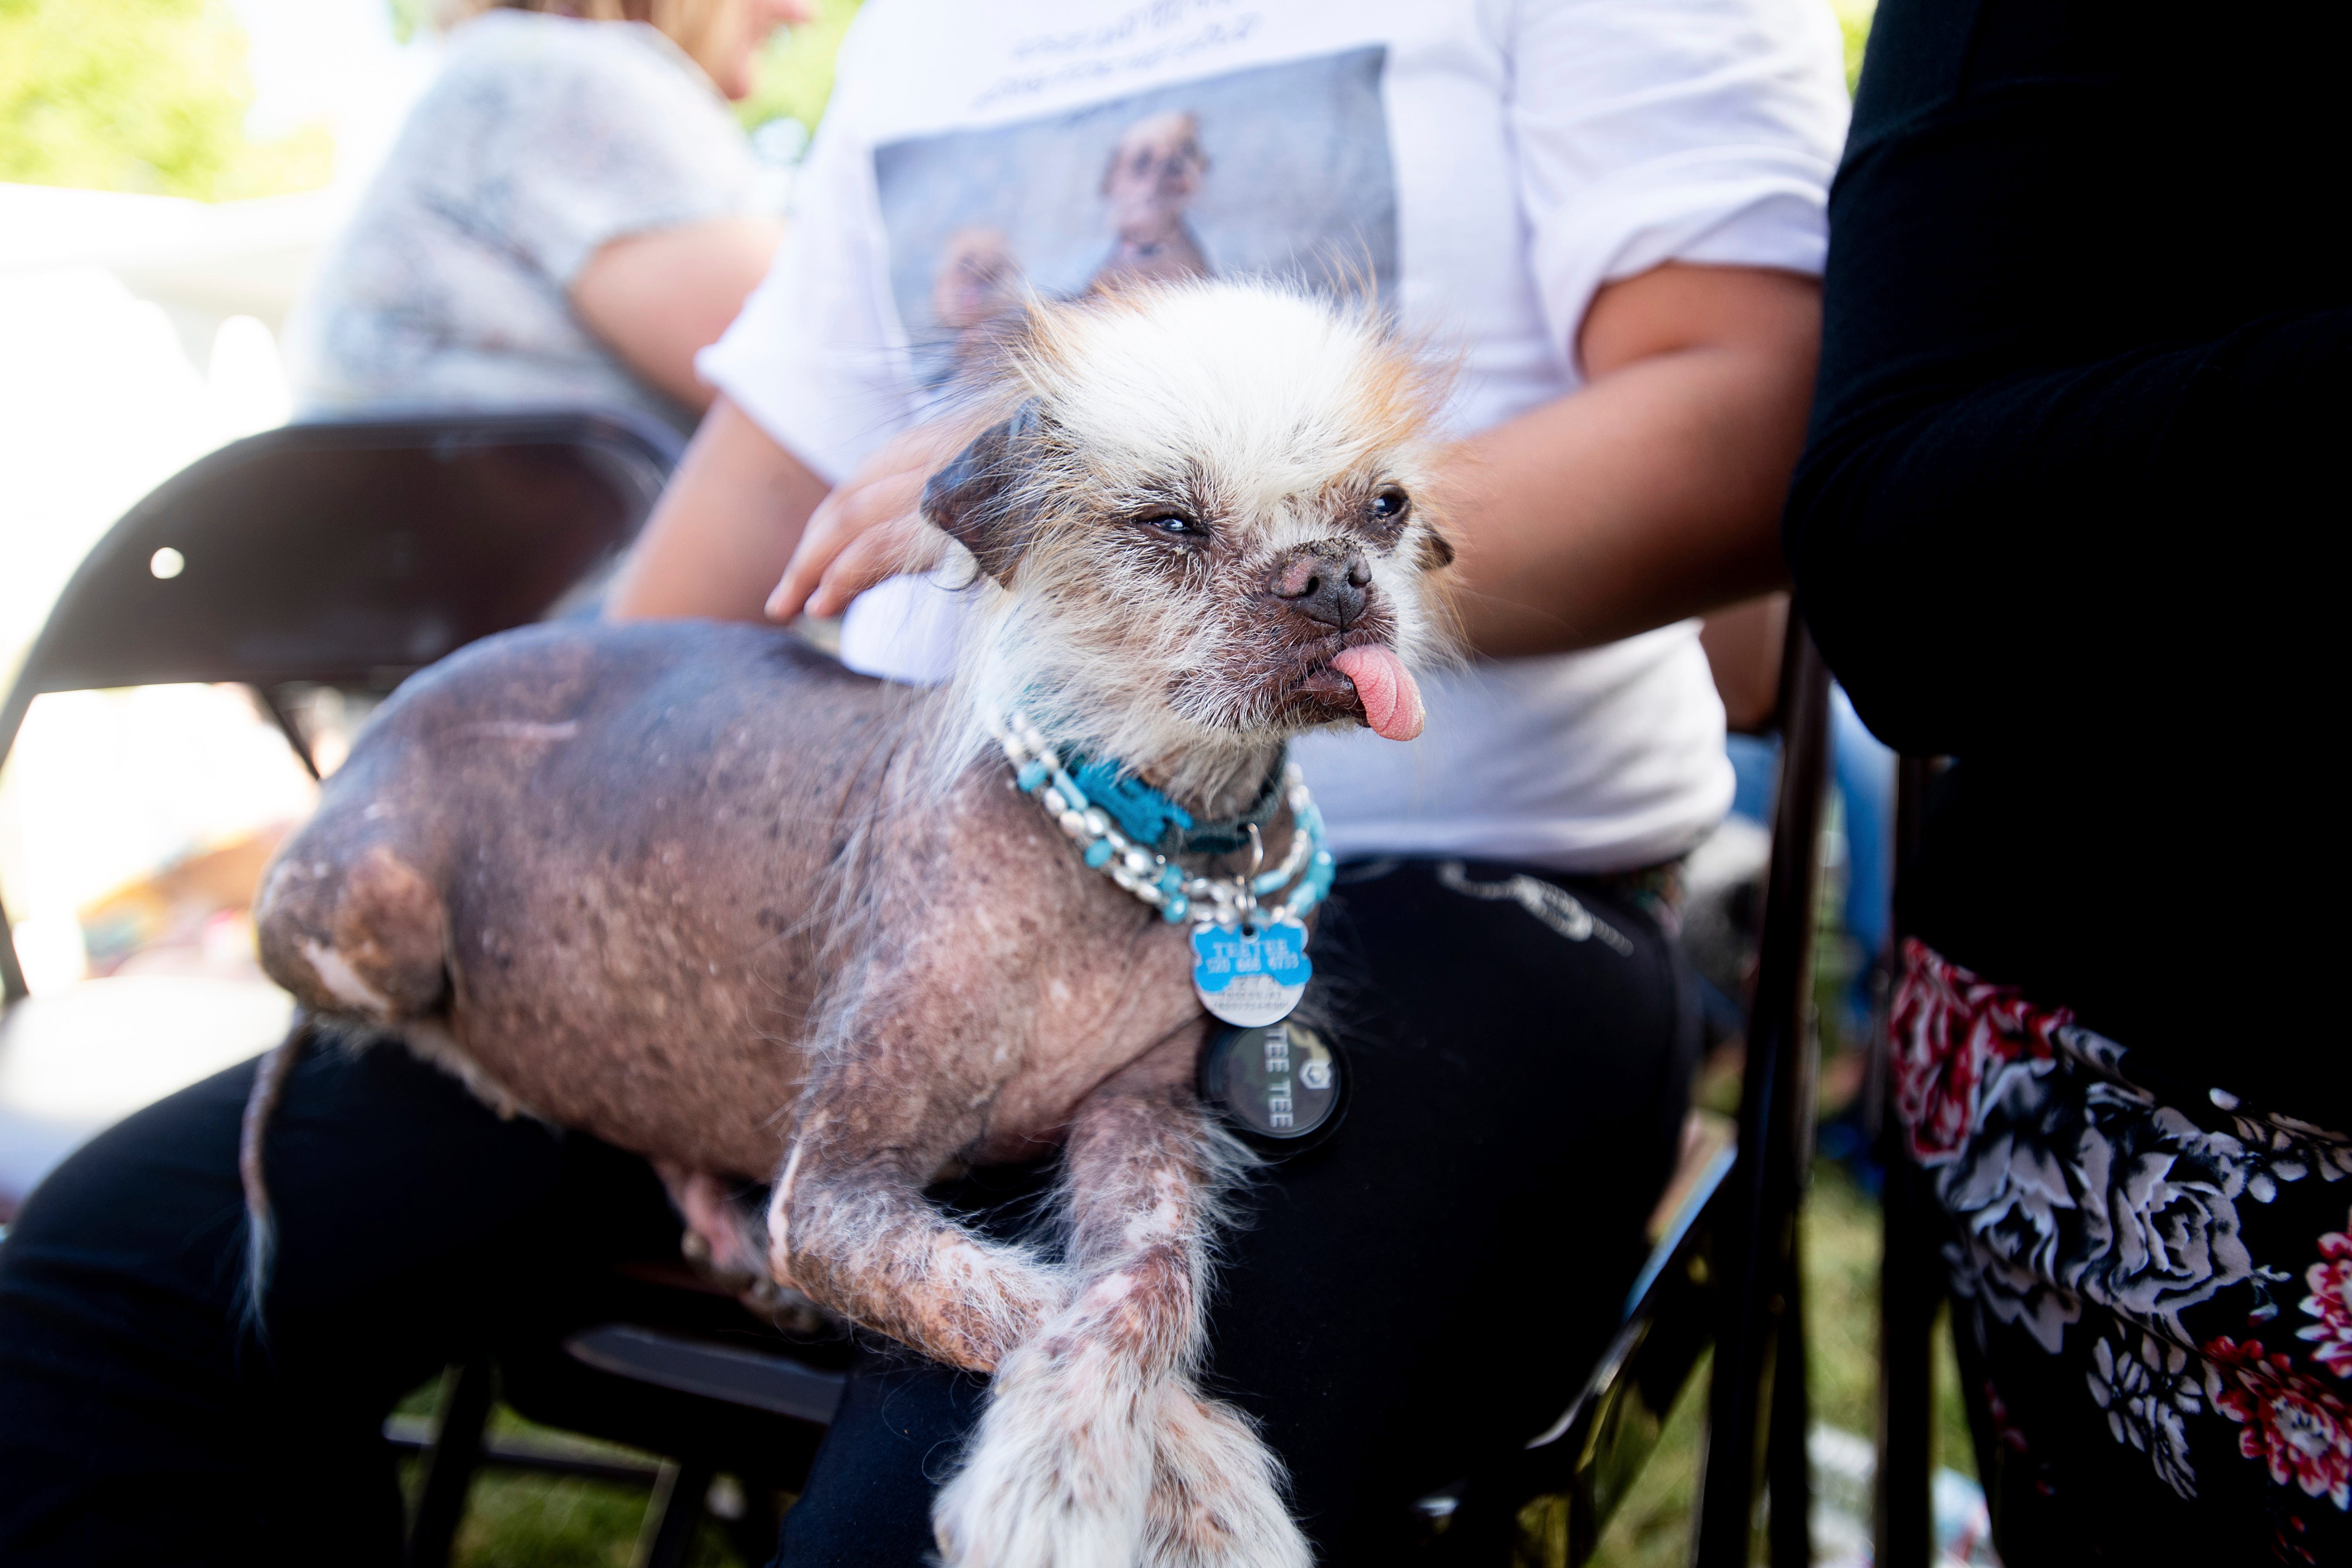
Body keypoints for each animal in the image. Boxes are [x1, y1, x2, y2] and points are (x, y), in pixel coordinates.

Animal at [243, 282, 1449, 1568]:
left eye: (1385, 507)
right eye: (1169, 521)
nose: (1334, 577)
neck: (1152, 832)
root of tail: (366, 740)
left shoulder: (1144, 1114)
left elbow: (1145, 1284)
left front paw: (1124, 1469)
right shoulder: (830, 1196)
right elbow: (1019, 1293)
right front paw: (1143, 1481)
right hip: (372, 906)